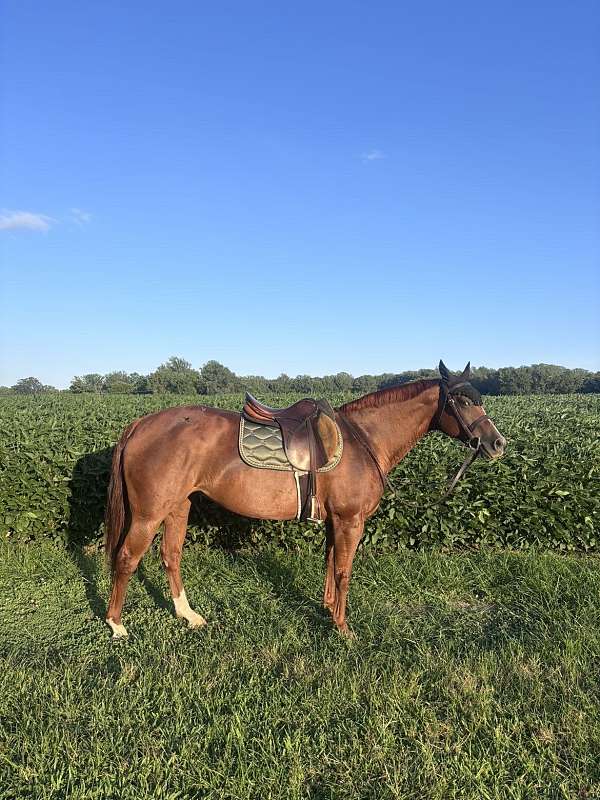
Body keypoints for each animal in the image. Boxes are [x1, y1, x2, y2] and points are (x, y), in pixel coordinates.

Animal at [104, 361, 506, 638]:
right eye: (463, 401)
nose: (497, 443)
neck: (363, 440)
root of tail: (141, 424)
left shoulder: (335, 521)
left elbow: (330, 565)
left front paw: (328, 610)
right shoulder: (349, 521)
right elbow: (344, 571)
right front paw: (343, 627)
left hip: (178, 507)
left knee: (170, 556)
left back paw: (187, 615)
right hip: (149, 514)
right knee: (127, 558)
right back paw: (116, 625)